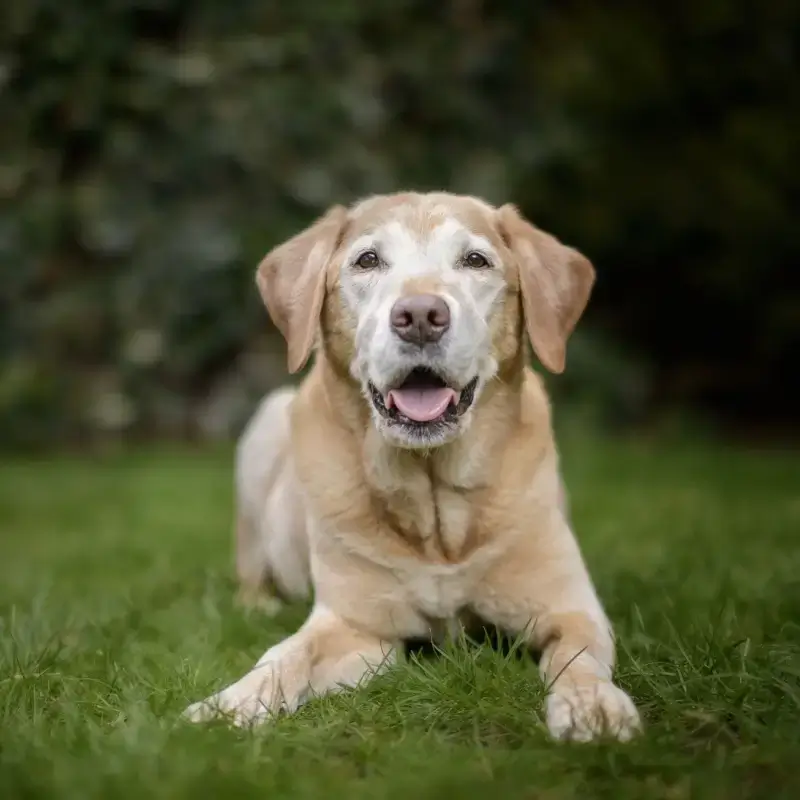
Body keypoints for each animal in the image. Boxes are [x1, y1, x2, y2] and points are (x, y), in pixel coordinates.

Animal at [184, 191, 640, 740]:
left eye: (475, 260)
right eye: (367, 260)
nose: (421, 315)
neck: (434, 501)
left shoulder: (571, 608)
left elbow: (579, 658)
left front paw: (593, 704)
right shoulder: (355, 627)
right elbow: (284, 655)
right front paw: (229, 705)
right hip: (268, 421)